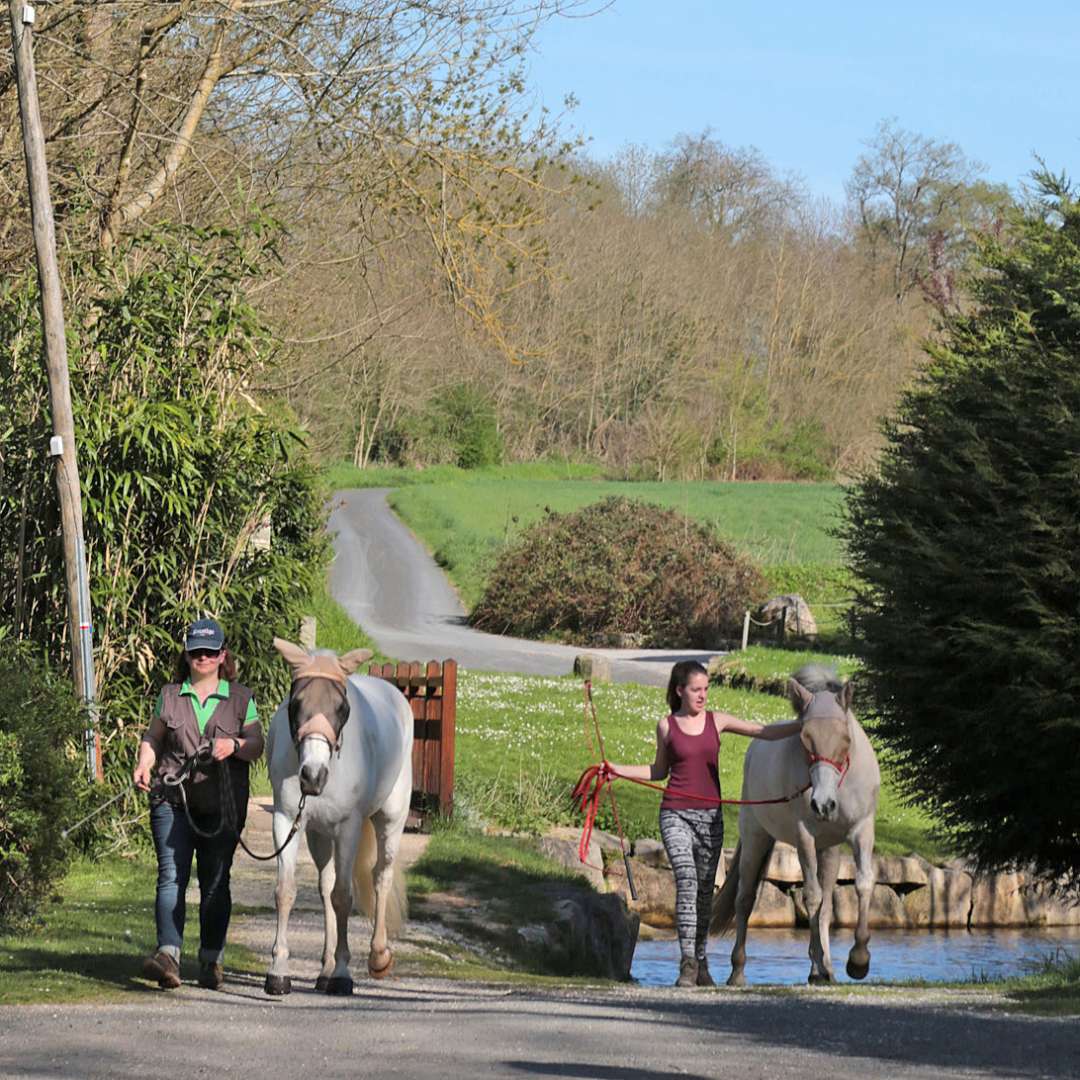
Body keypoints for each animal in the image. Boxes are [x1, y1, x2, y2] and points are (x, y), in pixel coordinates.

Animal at [263, 635, 410, 997]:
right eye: (295, 704)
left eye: (342, 709)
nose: (312, 776)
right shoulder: (286, 821)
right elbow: (286, 891)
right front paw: (278, 972)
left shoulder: (348, 829)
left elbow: (344, 897)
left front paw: (344, 974)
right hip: (319, 834)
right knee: (326, 885)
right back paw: (325, 969)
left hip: (391, 820)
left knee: (381, 877)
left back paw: (377, 957)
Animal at [712, 660, 881, 984]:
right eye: (805, 739)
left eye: (846, 740)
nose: (823, 804)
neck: (840, 784)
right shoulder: (805, 837)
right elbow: (811, 897)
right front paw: (833, 963)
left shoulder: (862, 830)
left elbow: (863, 883)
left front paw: (858, 960)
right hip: (756, 838)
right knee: (745, 899)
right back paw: (738, 972)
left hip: (828, 850)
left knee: (826, 907)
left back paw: (824, 968)